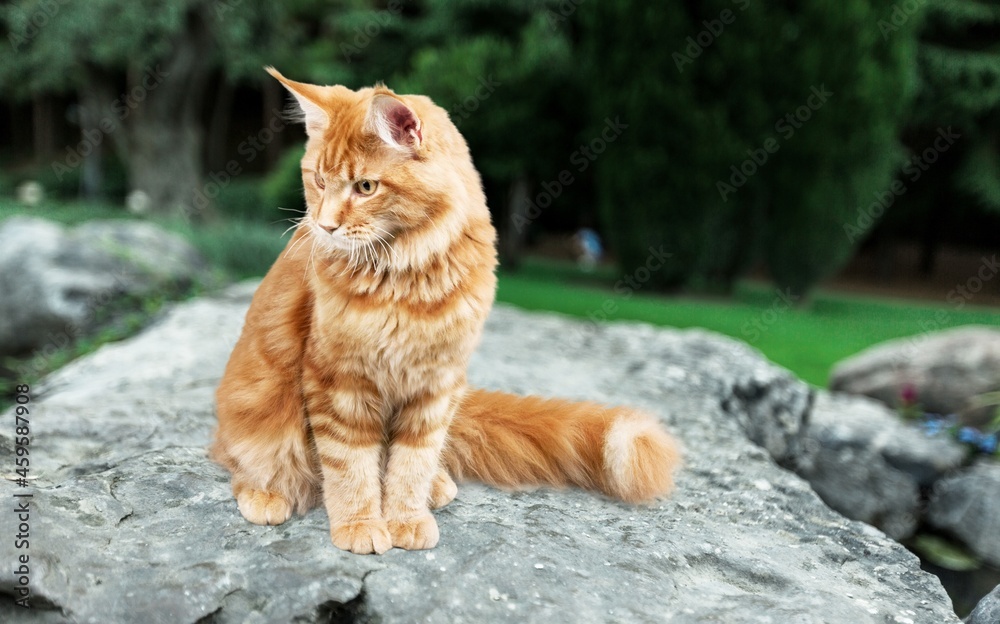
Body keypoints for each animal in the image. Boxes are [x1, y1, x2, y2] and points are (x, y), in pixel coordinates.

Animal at [209, 69, 680, 556]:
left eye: (365, 187)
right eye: (319, 181)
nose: (326, 226)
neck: (404, 278)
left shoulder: (436, 385)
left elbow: (410, 462)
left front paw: (405, 517)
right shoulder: (337, 381)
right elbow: (350, 465)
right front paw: (360, 523)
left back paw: (435, 486)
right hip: (257, 409)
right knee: (243, 460)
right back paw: (267, 493)